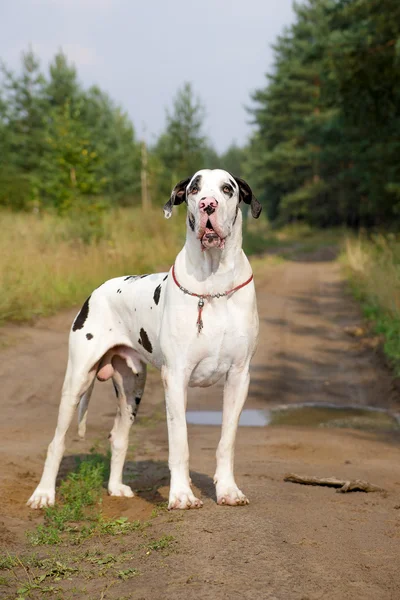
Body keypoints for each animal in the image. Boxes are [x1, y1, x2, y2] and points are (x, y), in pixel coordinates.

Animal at [26, 169, 260, 510]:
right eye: (194, 189)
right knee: (56, 441)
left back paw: (115, 487)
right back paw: (43, 494)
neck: (213, 285)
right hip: (77, 380)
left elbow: (226, 441)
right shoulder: (175, 378)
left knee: (118, 436)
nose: (208, 205)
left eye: (227, 189)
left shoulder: (239, 377)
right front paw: (181, 495)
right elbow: (179, 442)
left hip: (131, 388)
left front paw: (228, 491)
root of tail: (96, 291)